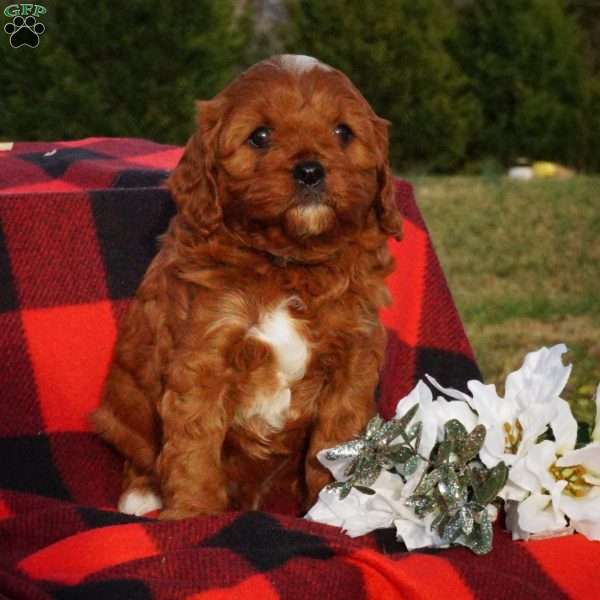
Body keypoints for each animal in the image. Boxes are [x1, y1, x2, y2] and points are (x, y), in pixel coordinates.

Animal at [91, 54, 400, 516]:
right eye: (260, 136)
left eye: (343, 132)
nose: (310, 171)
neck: (287, 266)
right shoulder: (203, 357)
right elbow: (194, 449)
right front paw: (194, 514)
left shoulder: (353, 358)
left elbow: (335, 442)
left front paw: (333, 510)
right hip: (121, 409)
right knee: (139, 455)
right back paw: (139, 497)